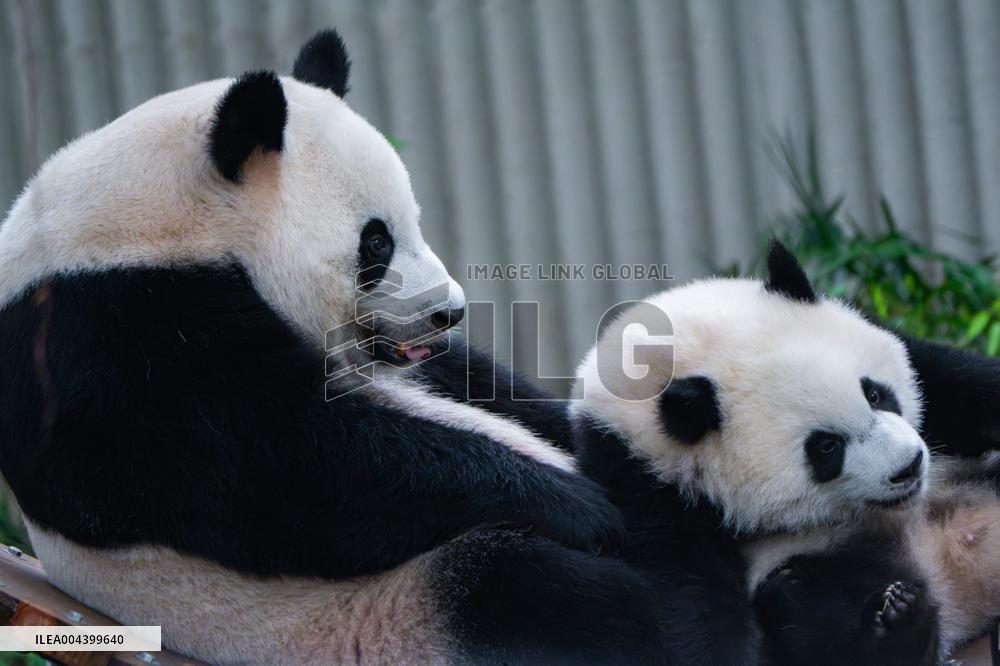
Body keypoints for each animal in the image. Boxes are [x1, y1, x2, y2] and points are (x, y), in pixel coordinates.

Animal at [0, 29, 672, 664]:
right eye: (375, 243)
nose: (449, 312)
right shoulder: (113, 343)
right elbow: (292, 467)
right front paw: (582, 505)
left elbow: (484, 386)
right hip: (375, 617)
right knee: (537, 591)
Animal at [571, 240, 1000, 665]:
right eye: (827, 446)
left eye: (875, 394)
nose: (909, 466)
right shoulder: (641, 476)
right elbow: (685, 583)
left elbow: (959, 384)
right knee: (804, 606)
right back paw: (900, 624)